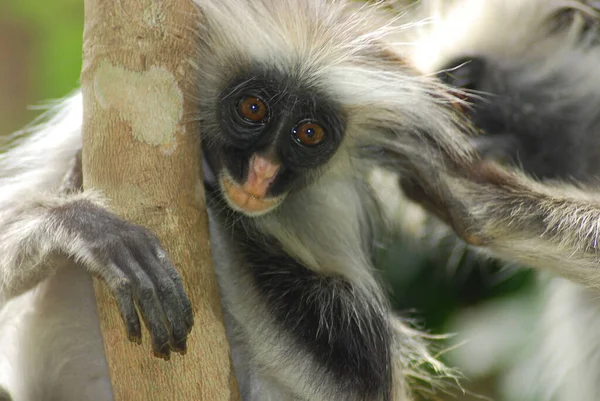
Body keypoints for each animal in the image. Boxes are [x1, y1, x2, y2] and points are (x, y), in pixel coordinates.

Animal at [0, 0, 478, 400]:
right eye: (252, 109)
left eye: (309, 133)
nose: (263, 172)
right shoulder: (81, 128)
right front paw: (83, 225)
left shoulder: (331, 199)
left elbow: (362, 375)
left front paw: (213, 193)